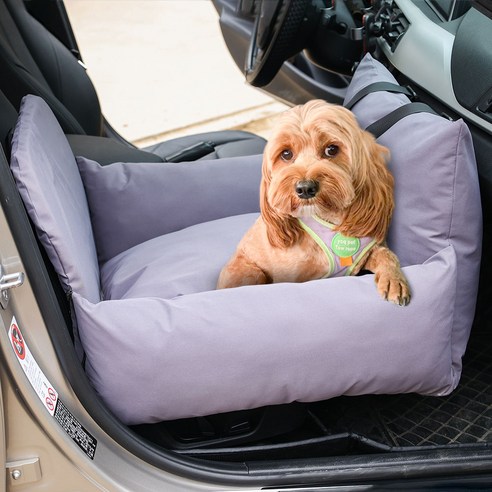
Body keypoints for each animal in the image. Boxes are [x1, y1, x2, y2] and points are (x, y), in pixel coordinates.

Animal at [217, 99, 410, 308]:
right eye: (286, 154)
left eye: (331, 149)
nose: (305, 188)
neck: (329, 218)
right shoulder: (294, 276)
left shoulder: (367, 253)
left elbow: (387, 255)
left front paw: (393, 280)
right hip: (251, 272)